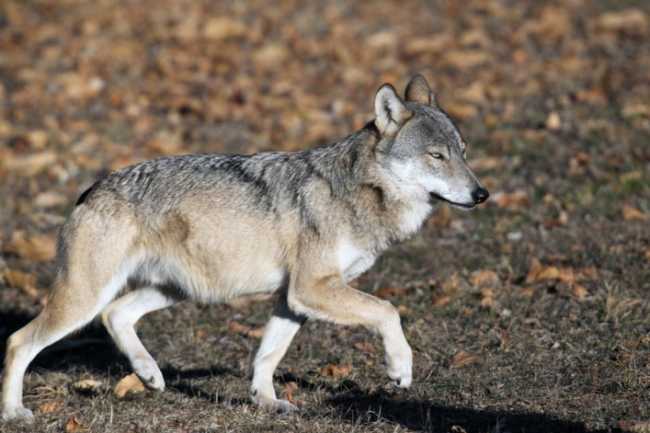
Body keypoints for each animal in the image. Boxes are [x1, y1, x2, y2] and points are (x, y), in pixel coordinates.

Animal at [1, 74, 488, 421]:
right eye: (436, 156)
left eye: (464, 151)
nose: (481, 194)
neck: (359, 191)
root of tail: (91, 188)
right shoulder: (312, 289)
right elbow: (389, 311)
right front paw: (400, 368)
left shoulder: (292, 300)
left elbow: (266, 357)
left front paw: (266, 403)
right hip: (84, 301)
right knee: (19, 341)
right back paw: (16, 412)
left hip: (175, 291)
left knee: (115, 315)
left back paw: (149, 374)